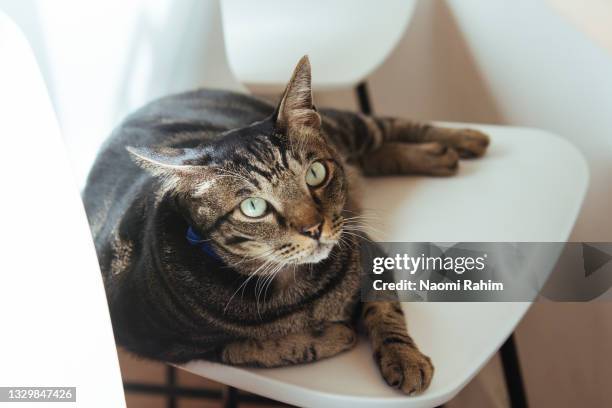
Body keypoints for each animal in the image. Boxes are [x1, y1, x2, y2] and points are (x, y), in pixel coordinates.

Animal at [85, 55, 488, 394]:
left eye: (316, 173)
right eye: (253, 206)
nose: (314, 228)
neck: (296, 288)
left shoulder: (370, 251)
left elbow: (385, 309)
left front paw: (404, 357)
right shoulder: (156, 340)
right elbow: (249, 347)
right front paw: (331, 336)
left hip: (346, 127)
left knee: (386, 127)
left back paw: (461, 140)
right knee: (375, 153)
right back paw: (441, 155)